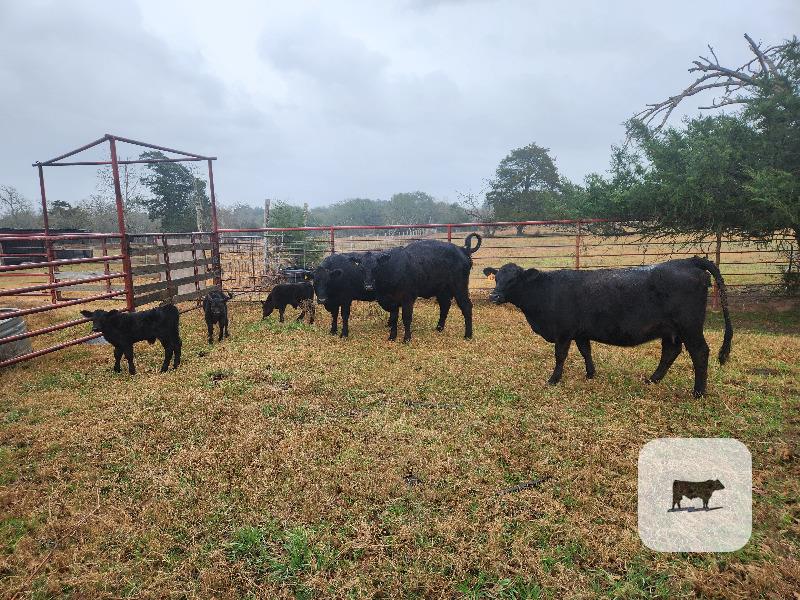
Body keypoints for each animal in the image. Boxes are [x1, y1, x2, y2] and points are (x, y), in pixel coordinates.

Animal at [352, 233, 482, 342]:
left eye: (376, 267)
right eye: (361, 268)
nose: (368, 286)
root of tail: (462, 249)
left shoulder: (408, 298)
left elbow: (406, 318)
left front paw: (407, 339)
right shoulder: (392, 301)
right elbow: (393, 319)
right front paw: (392, 337)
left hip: (460, 287)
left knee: (466, 307)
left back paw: (468, 335)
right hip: (442, 290)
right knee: (445, 306)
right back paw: (439, 328)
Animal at [483, 256, 733, 396]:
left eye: (514, 279)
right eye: (497, 278)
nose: (494, 296)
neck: (546, 291)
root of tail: (689, 261)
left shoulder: (563, 331)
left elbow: (560, 356)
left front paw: (553, 379)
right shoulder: (580, 332)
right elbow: (586, 351)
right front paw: (591, 374)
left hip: (690, 326)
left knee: (700, 353)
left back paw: (698, 392)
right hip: (670, 330)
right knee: (670, 352)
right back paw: (652, 379)